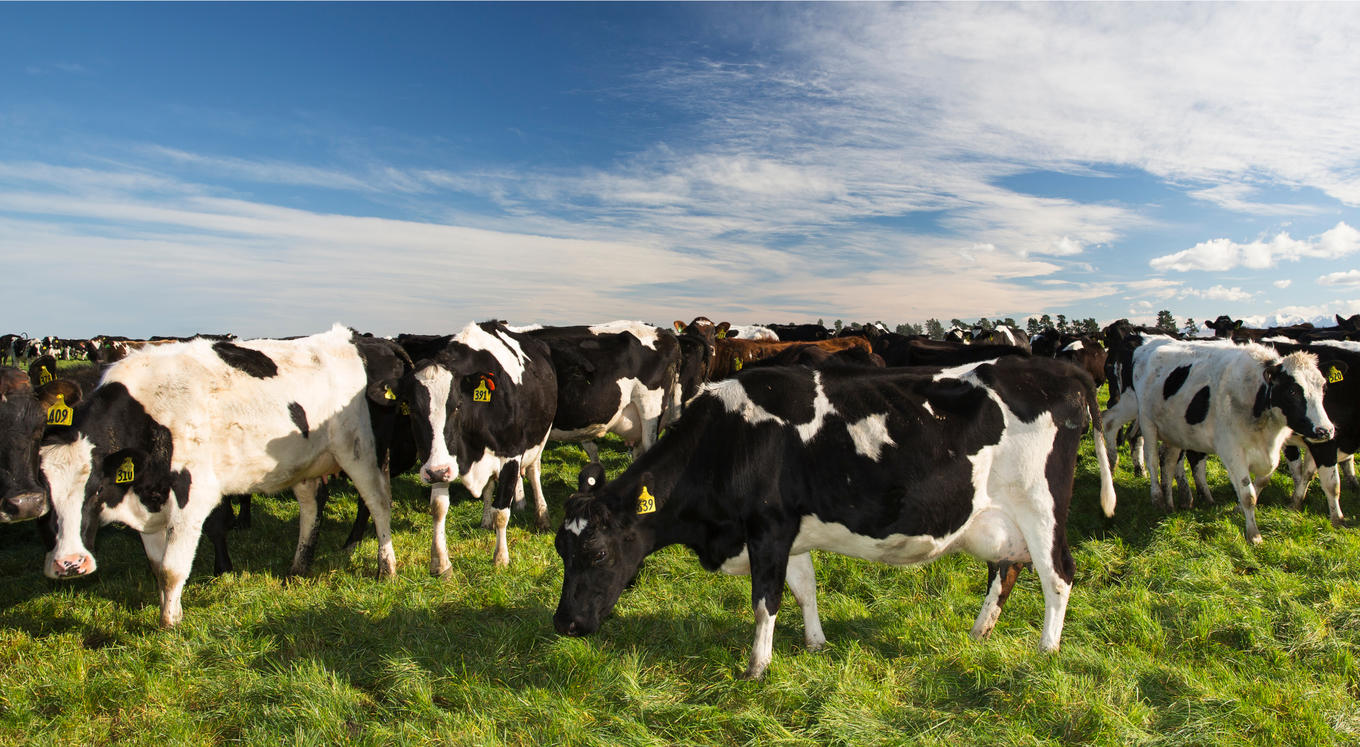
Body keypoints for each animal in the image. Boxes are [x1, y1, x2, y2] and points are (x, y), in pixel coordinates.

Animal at [38, 325, 407, 627]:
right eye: (46, 502)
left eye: (97, 488)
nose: (69, 564)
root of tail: (358, 338)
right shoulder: (149, 503)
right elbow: (157, 566)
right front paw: (169, 610)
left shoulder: (191, 497)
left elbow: (172, 568)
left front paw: (169, 625)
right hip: (305, 461)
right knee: (312, 504)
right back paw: (298, 567)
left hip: (362, 452)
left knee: (378, 503)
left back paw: (386, 568)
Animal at [553, 357, 1116, 679]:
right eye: (561, 549)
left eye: (598, 552)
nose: (564, 624)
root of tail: (1062, 371)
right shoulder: (790, 534)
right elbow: (804, 589)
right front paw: (816, 643)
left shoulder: (767, 529)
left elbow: (765, 603)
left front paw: (757, 668)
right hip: (1004, 519)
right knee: (1008, 568)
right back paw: (981, 633)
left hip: (1041, 506)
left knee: (1058, 576)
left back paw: (1046, 652)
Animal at [1100, 340, 1334, 543]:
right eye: (1293, 390)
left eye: (1323, 387)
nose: (1325, 430)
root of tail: (1145, 345)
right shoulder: (1232, 451)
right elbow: (1248, 494)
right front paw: (1254, 535)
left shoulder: (1270, 455)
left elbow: (1261, 482)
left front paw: (1239, 510)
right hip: (1146, 420)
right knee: (1147, 456)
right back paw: (1151, 493)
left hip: (1174, 430)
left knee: (1166, 460)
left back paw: (1169, 501)